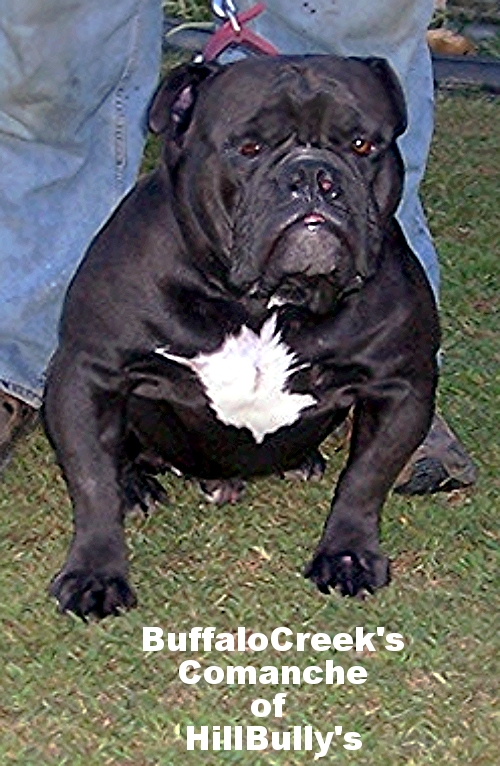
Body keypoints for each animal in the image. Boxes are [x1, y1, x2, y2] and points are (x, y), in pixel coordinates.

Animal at [45, 55, 440, 616]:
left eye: (362, 144)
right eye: (249, 148)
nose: (312, 174)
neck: (266, 302)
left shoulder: (401, 384)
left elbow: (366, 477)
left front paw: (347, 555)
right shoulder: (88, 370)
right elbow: (91, 479)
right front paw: (95, 573)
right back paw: (136, 486)